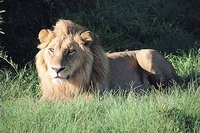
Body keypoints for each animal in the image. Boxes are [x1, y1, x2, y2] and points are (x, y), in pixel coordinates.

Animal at [35, 19, 182, 102]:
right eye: (51, 50)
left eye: (71, 51)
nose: (56, 69)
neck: (66, 85)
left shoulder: (96, 97)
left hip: (146, 54)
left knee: (172, 88)